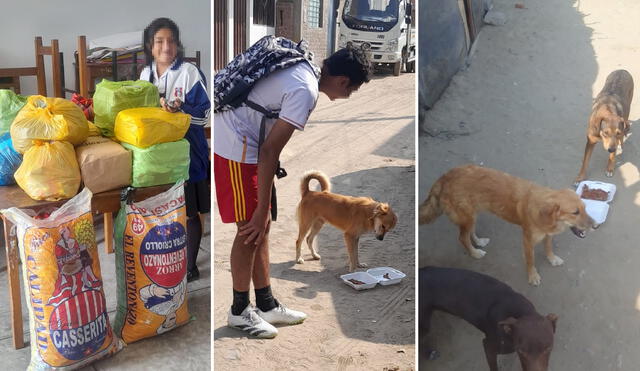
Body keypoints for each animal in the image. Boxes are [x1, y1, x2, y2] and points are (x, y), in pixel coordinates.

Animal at [420, 164, 596, 286]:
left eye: (585, 208)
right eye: (575, 212)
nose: (595, 225)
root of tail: (444, 178)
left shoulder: (547, 235)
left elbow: (548, 248)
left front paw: (552, 259)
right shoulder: (527, 240)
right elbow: (530, 260)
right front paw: (532, 276)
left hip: (472, 214)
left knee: (469, 232)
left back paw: (479, 242)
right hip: (467, 216)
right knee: (462, 238)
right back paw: (475, 253)